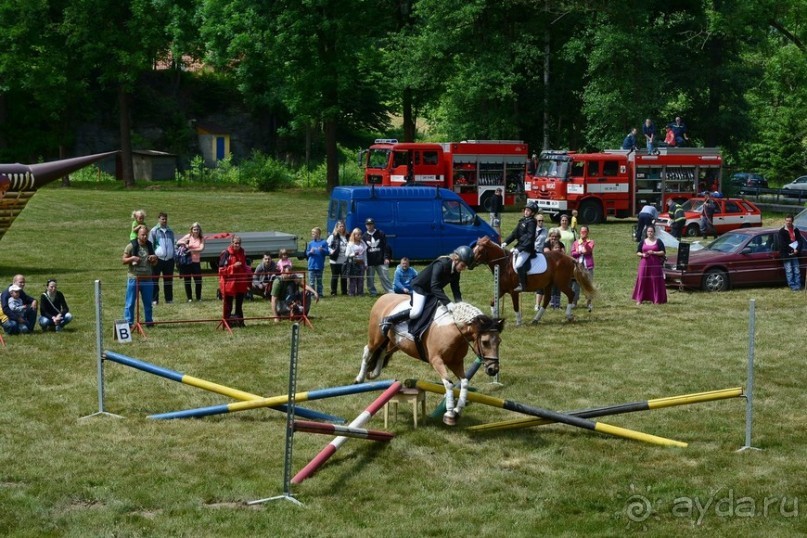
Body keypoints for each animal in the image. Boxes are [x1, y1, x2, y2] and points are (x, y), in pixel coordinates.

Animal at [356, 292, 504, 426]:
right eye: (485, 342)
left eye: (499, 342)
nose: (493, 369)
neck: (453, 331)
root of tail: (384, 296)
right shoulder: (436, 361)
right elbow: (449, 384)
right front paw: (450, 413)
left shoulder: (456, 362)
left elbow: (464, 382)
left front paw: (457, 411)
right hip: (376, 337)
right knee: (368, 350)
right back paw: (359, 379)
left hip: (393, 343)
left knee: (382, 352)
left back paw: (373, 373)